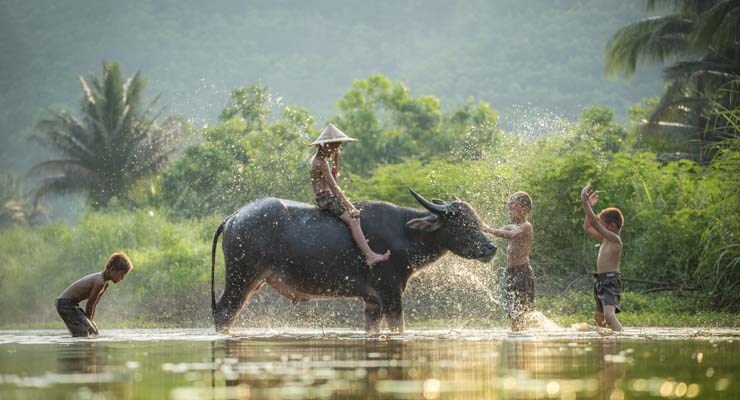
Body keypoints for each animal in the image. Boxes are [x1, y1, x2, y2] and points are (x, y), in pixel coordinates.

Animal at [211, 189, 494, 332]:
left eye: (476, 220)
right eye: (462, 224)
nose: (490, 248)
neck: (404, 233)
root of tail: (234, 217)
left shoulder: (372, 301)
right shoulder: (391, 293)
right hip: (241, 279)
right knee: (225, 312)